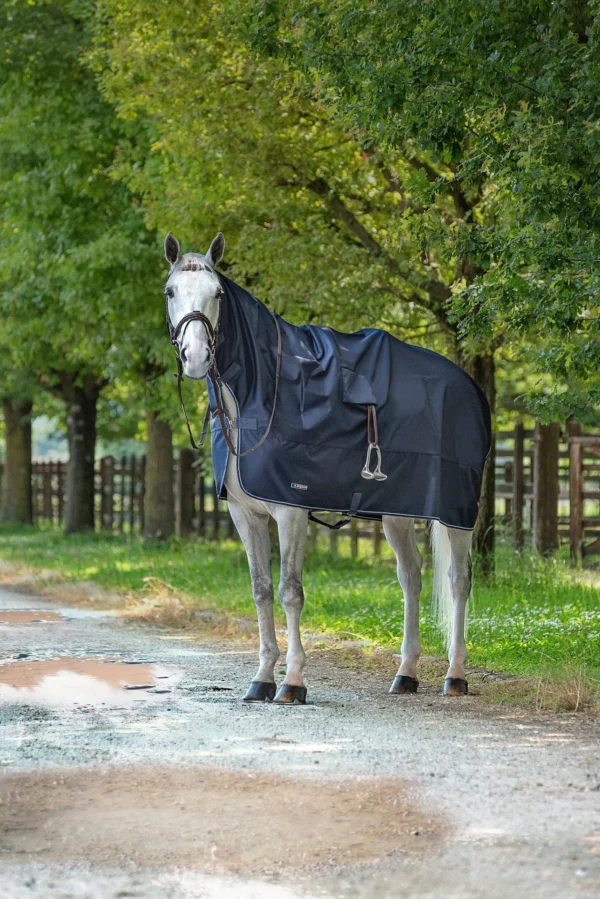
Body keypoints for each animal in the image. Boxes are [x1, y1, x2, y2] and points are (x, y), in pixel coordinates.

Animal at [162, 230, 490, 704]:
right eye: (171, 291)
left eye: (218, 293)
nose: (195, 357)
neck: (258, 394)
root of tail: (468, 386)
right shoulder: (245, 515)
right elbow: (261, 590)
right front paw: (262, 678)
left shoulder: (290, 510)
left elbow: (290, 592)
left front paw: (293, 682)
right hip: (397, 513)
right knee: (411, 577)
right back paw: (406, 673)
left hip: (455, 511)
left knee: (458, 579)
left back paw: (456, 674)